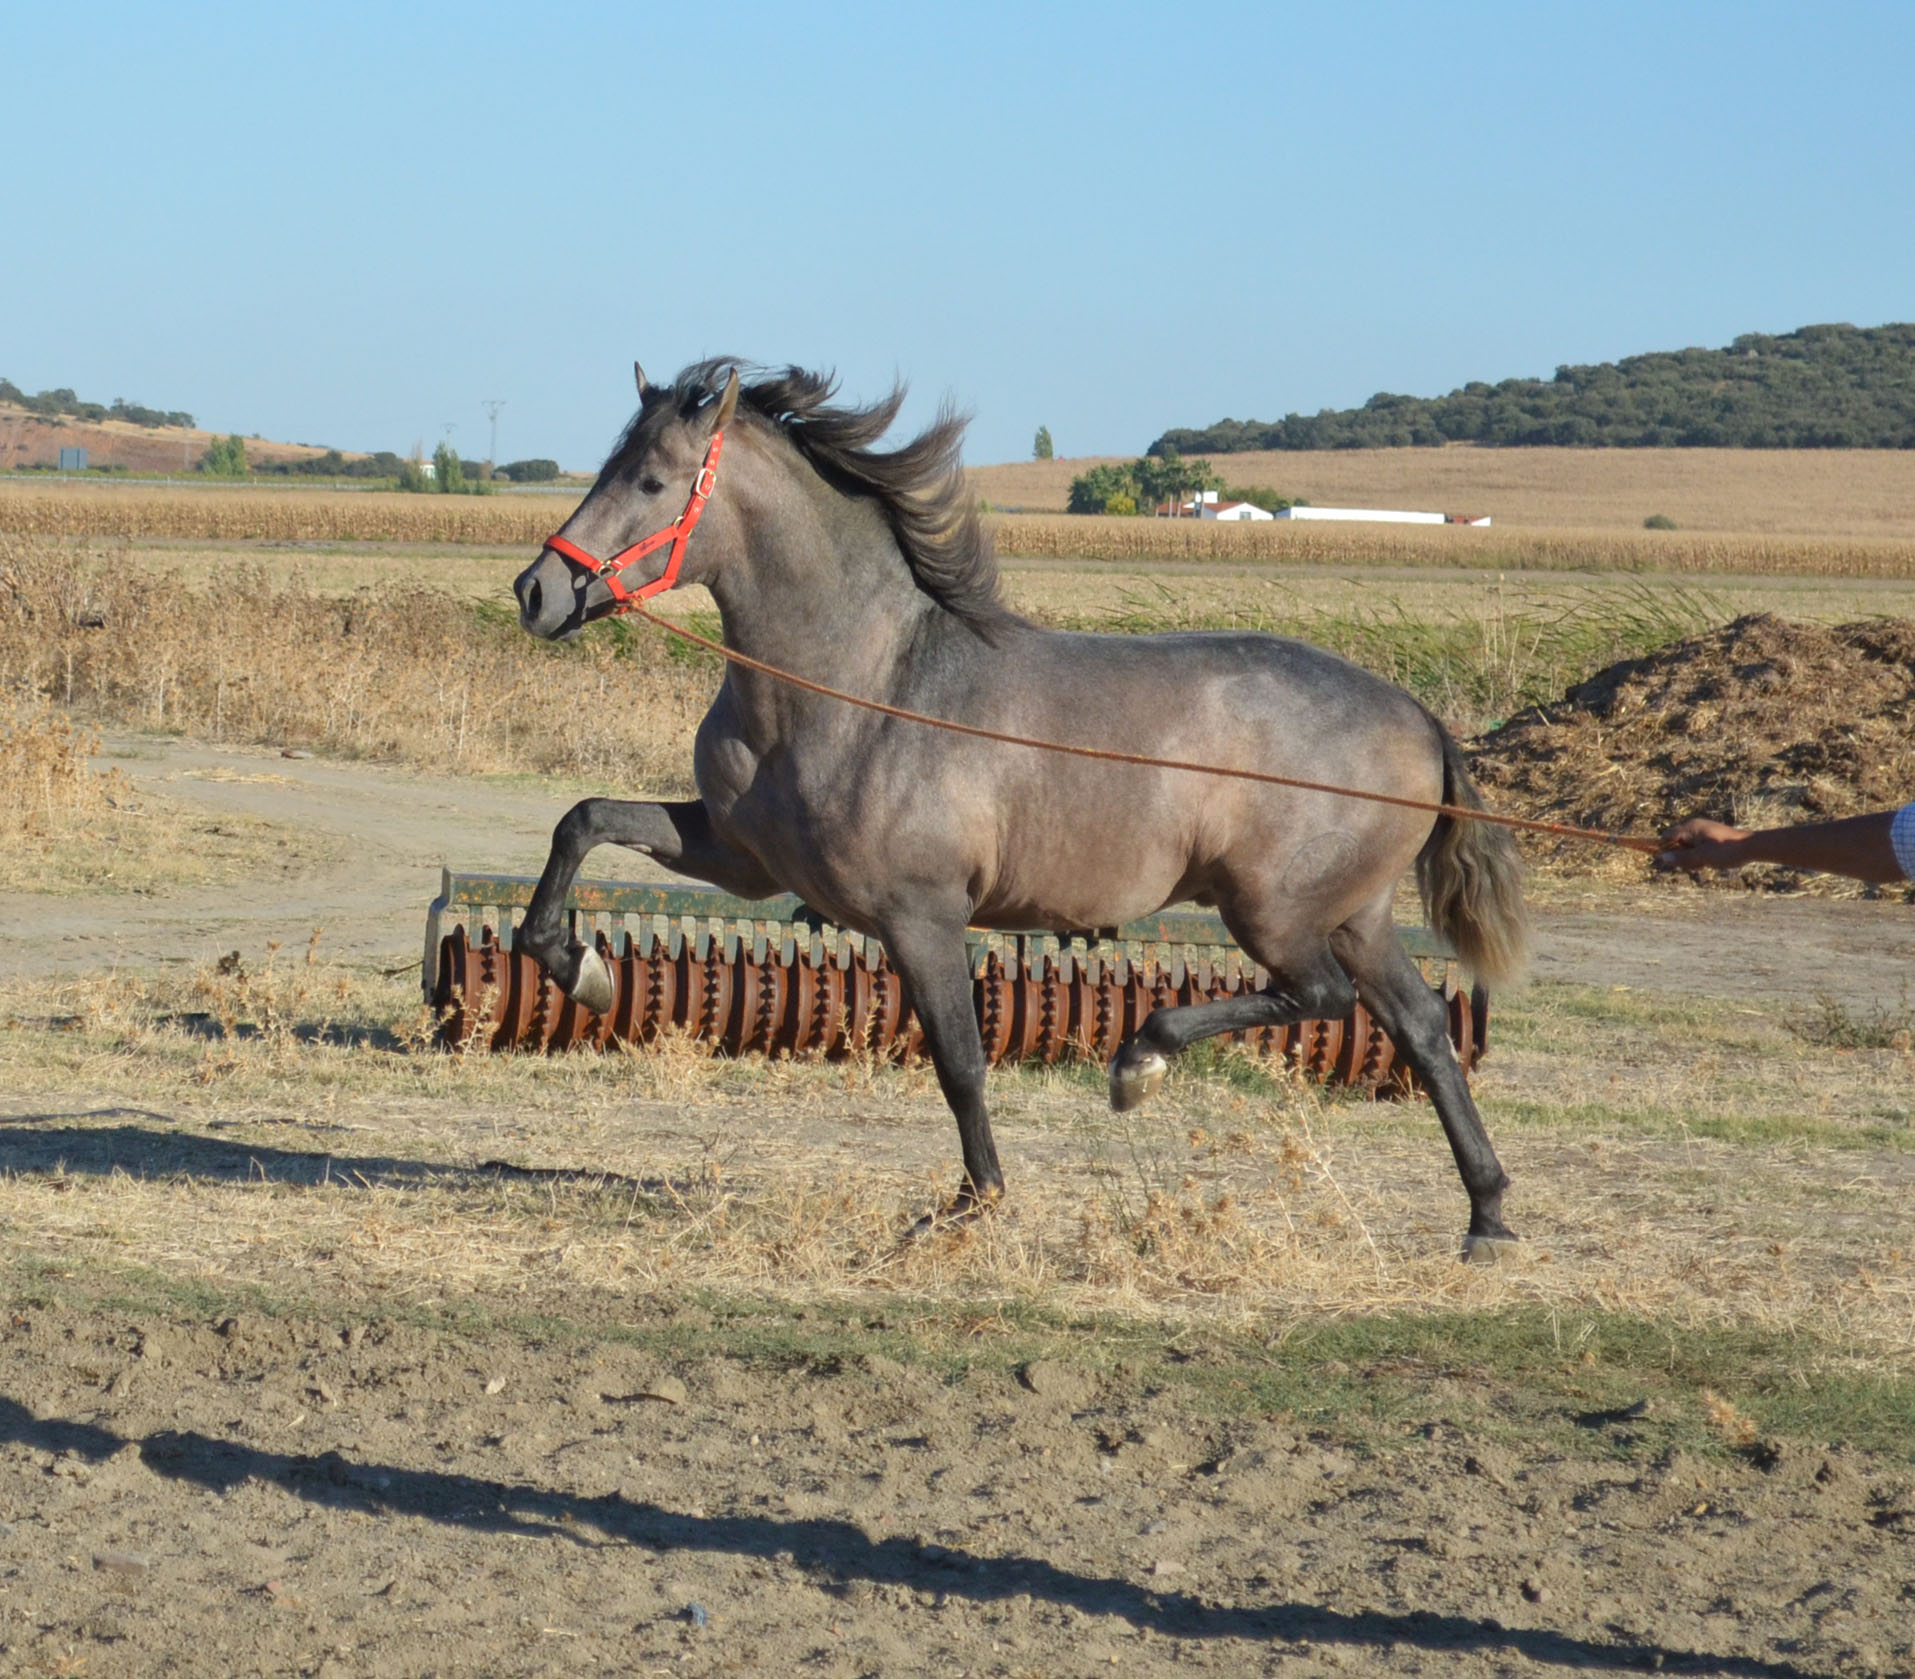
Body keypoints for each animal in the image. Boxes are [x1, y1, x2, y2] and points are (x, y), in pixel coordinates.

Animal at [509, 369, 1524, 1255]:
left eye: (651, 479)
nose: (536, 592)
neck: (859, 683)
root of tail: (1418, 716)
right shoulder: (739, 856)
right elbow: (582, 821)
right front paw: (576, 966)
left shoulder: (920, 915)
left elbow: (959, 1058)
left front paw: (974, 1202)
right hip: (1354, 915)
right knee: (1422, 1029)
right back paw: (1486, 1216)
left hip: (1274, 911)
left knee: (1323, 999)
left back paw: (1139, 1062)